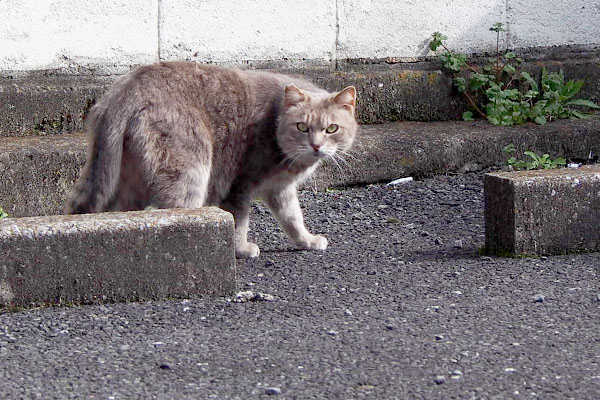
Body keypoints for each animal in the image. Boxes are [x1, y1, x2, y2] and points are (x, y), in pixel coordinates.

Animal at [67, 61, 356, 258]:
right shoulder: (240, 185)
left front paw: (307, 240)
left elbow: (293, 217)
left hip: (124, 179)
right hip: (191, 173)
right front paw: (241, 249)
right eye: (302, 127)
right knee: (172, 216)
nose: (316, 145)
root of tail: (125, 89)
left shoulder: (280, 189)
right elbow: (240, 220)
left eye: (332, 129)